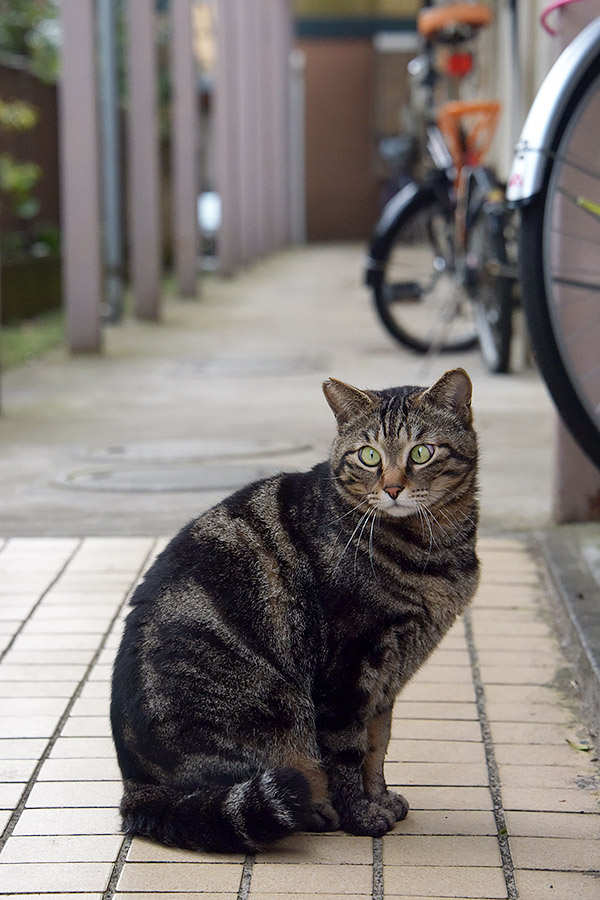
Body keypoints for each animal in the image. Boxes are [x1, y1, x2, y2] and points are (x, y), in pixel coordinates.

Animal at [111, 366, 478, 852]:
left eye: (421, 452)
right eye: (368, 456)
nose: (393, 488)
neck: (434, 548)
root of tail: (135, 787)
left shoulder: (385, 683)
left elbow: (377, 747)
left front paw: (380, 798)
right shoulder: (348, 672)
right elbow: (348, 753)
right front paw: (360, 815)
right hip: (273, 713)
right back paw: (316, 811)